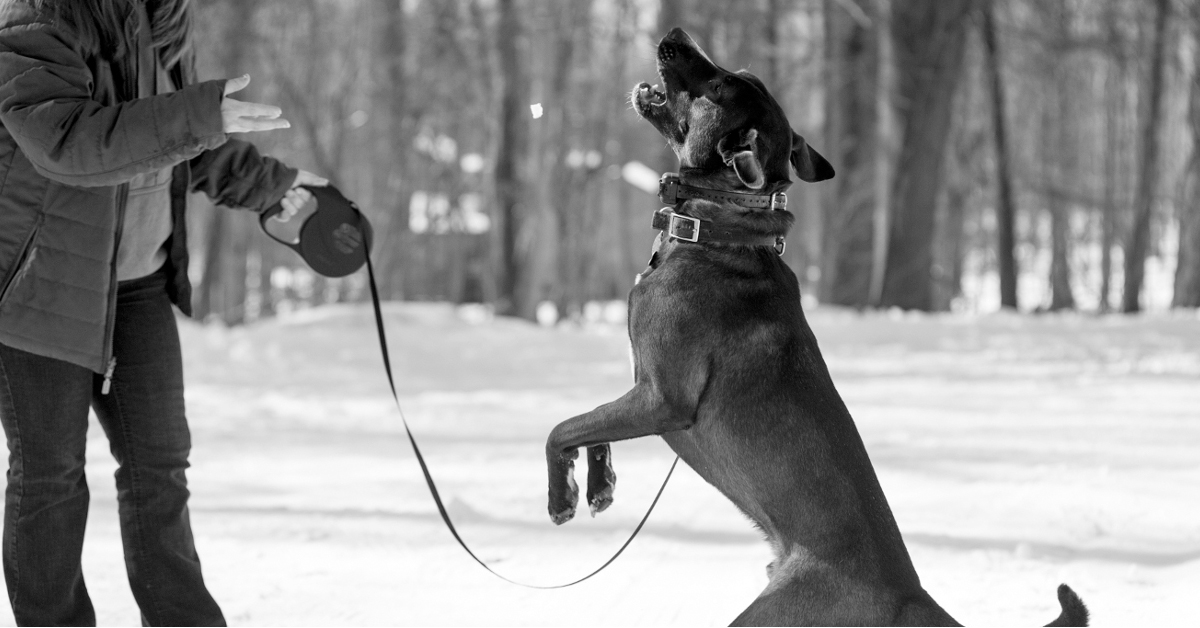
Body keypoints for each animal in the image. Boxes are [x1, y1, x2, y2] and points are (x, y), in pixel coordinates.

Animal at [544, 29, 1089, 628]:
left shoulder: (661, 397)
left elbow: (563, 428)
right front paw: (599, 486)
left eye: (718, 85)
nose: (675, 36)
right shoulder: (639, 391)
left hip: (766, 614)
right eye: (733, 73)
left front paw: (561, 497)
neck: (716, 227)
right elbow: (593, 430)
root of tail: (909, 596)